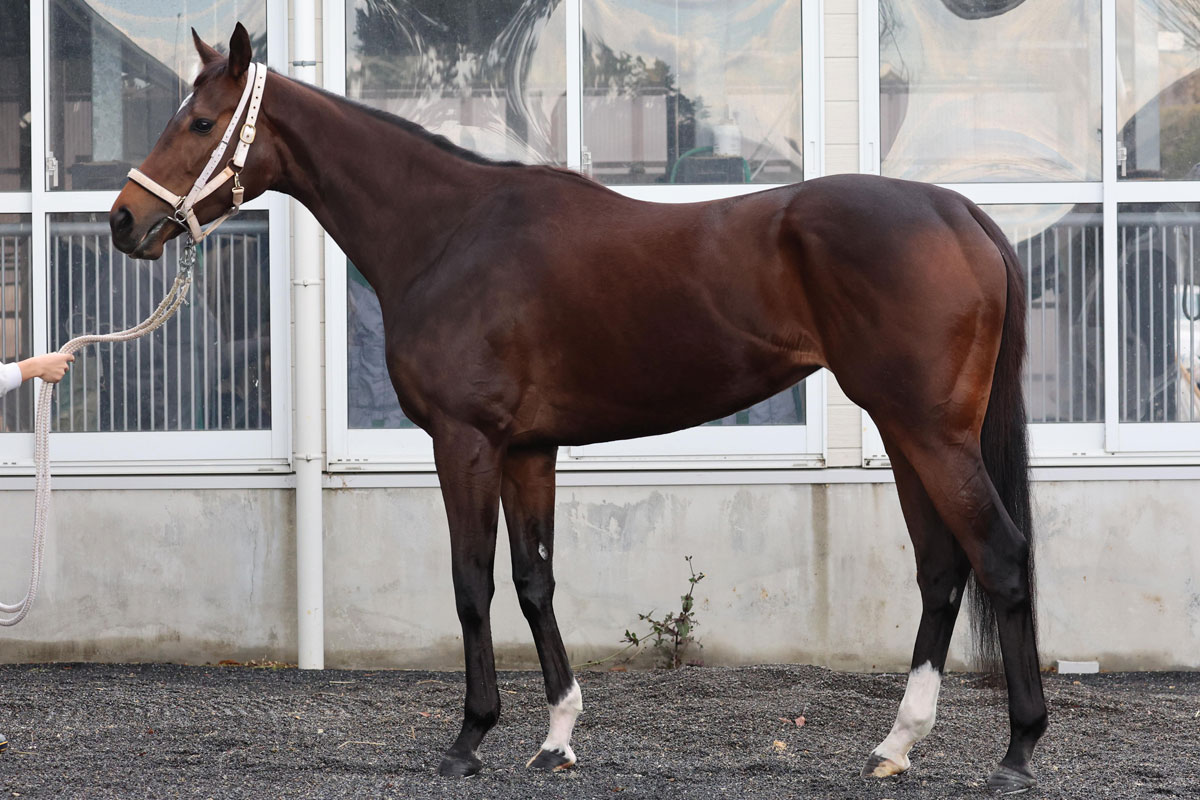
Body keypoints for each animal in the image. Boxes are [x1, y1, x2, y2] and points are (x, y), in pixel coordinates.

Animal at [110, 24, 1047, 793]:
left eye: (200, 123)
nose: (124, 221)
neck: (449, 232)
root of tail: (957, 209)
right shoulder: (530, 450)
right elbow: (535, 582)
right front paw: (557, 738)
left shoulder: (466, 442)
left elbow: (472, 583)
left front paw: (468, 740)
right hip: (904, 430)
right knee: (941, 569)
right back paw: (896, 745)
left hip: (929, 432)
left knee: (999, 556)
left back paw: (1018, 750)